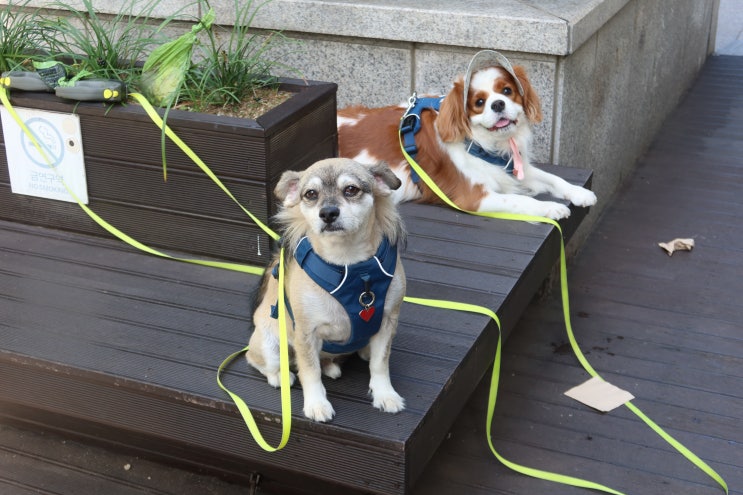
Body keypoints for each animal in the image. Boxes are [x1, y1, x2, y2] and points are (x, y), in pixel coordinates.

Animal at [338, 50, 600, 221]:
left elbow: (553, 178)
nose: (497, 104)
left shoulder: (513, 169)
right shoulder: (475, 197)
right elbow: (520, 200)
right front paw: (550, 208)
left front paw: (579, 192)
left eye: (507, 91)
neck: (483, 143)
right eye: (479, 103)